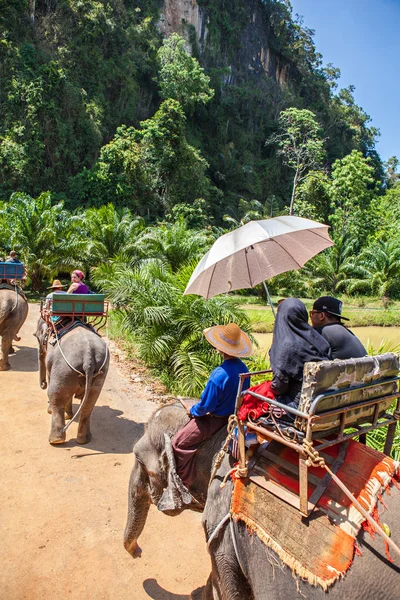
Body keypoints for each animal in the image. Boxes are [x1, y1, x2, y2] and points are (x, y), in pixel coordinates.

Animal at [34, 318, 109, 446]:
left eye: (38, 338)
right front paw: (68, 415)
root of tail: (88, 357)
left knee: (56, 396)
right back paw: (84, 440)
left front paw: (50, 411)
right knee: (89, 404)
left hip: (63, 368)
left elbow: (50, 376)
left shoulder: (52, 361)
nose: (43, 384)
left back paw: (56, 440)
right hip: (100, 372)